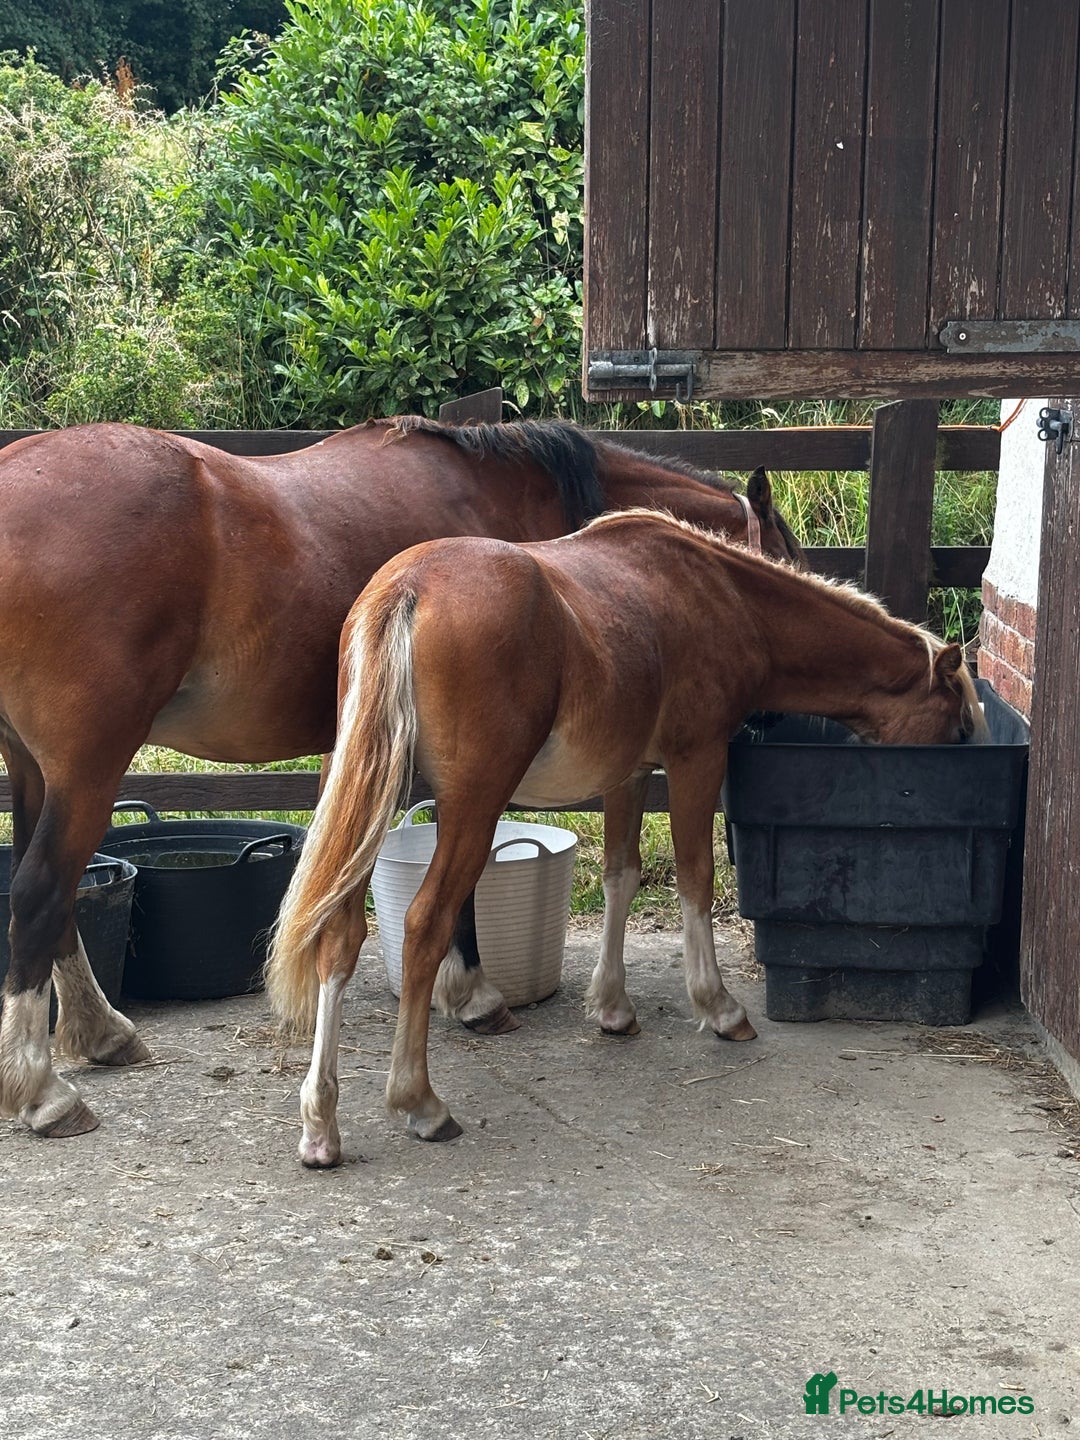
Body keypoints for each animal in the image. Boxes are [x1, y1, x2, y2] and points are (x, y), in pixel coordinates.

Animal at [0, 415, 802, 1141]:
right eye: (788, 566)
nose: (776, 724)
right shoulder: (470, 765)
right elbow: (457, 889)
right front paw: (473, 996)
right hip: (88, 765)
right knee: (41, 889)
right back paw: (45, 1093)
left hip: (34, 767)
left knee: (56, 894)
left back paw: (101, 1033)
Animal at [267, 510, 986, 1168]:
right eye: (955, 728)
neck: (725, 596)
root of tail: (407, 587)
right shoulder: (697, 760)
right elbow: (696, 878)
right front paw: (719, 1007)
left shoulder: (629, 776)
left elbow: (622, 874)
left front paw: (612, 1007)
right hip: (471, 805)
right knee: (425, 926)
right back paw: (419, 1102)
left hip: (370, 799)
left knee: (339, 934)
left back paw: (321, 1125)